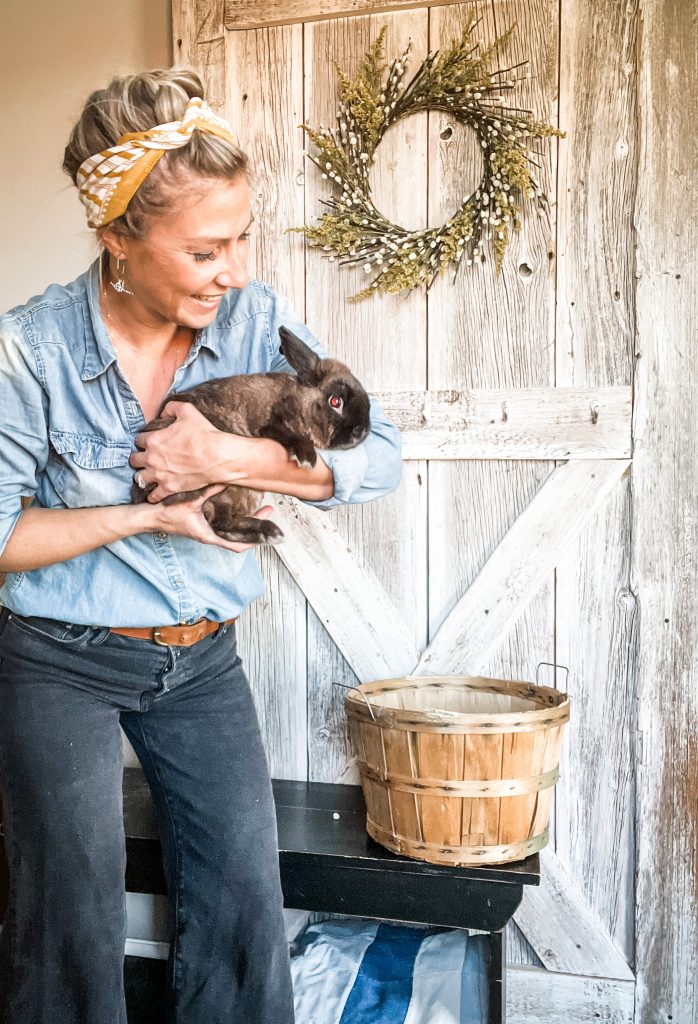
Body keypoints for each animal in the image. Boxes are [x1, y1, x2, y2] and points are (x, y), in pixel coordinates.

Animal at [131, 327, 370, 544]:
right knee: (220, 523)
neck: (300, 400)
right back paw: (270, 532)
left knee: (221, 525)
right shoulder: (271, 424)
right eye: (335, 402)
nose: (362, 431)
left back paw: (269, 533)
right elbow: (290, 435)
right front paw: (306, 458)